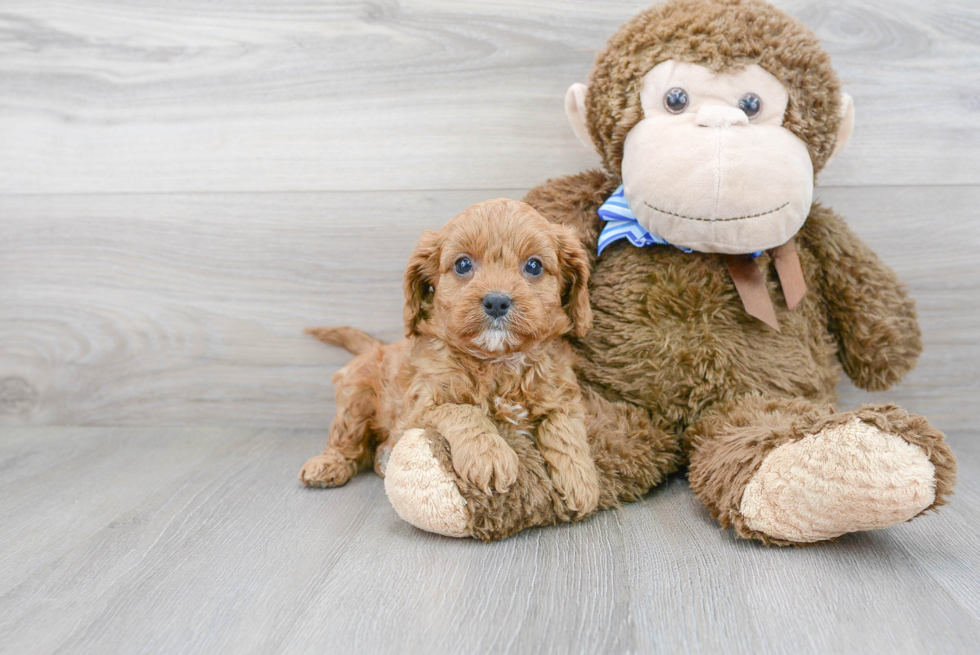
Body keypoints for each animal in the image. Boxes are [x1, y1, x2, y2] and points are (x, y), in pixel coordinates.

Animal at [298, 197, 600, 516]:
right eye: (463, 264)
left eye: (534, 265)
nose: (496, 301)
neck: (499, 360)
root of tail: (375, 347)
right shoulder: (422, 403)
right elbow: (463, 410)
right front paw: (489, 454)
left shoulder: (564, 395)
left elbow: (565, 427)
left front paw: (581, 479)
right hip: (356, 397)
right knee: (346, 440)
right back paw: (327, 464)